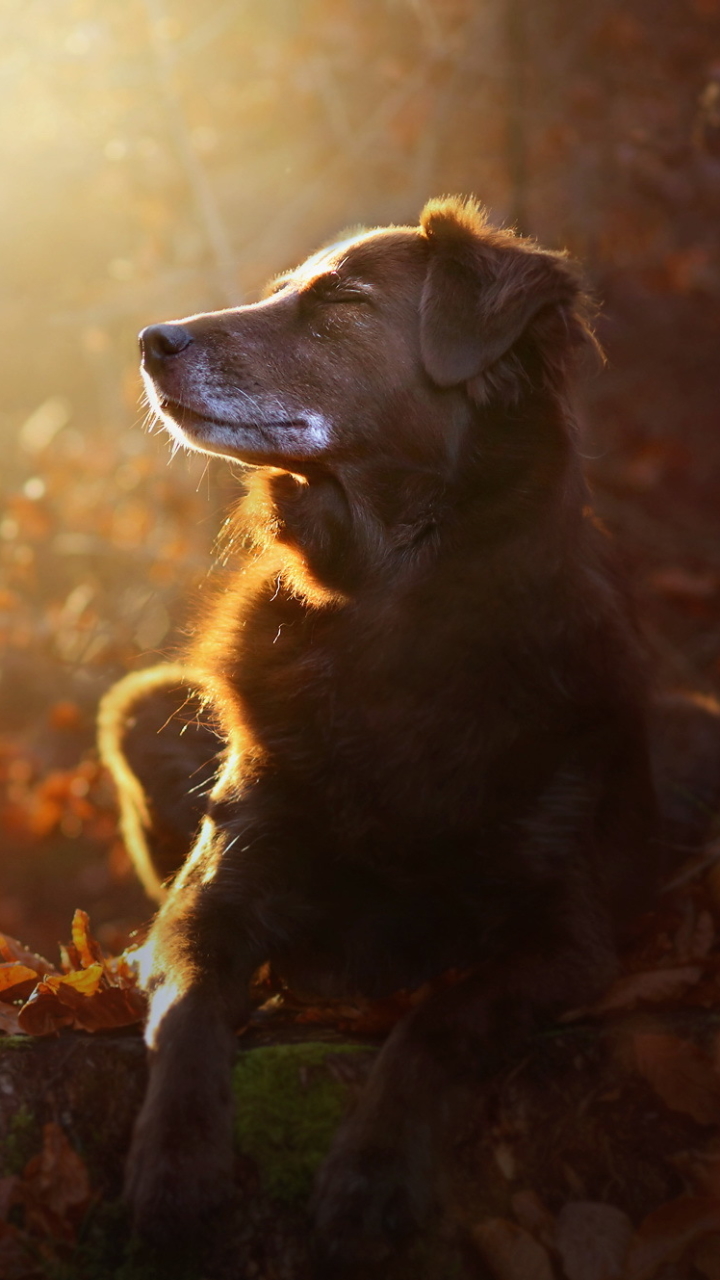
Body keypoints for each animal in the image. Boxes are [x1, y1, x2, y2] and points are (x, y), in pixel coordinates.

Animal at [98, 199, 712, 1269]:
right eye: (278, 292)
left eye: (342, 302)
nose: (151, 341)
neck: (391, 604)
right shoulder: (205, 899)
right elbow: (189, 1018)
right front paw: (174, 1171)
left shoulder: (566, 937)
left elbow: (438, 1020)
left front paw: (372, 1177)